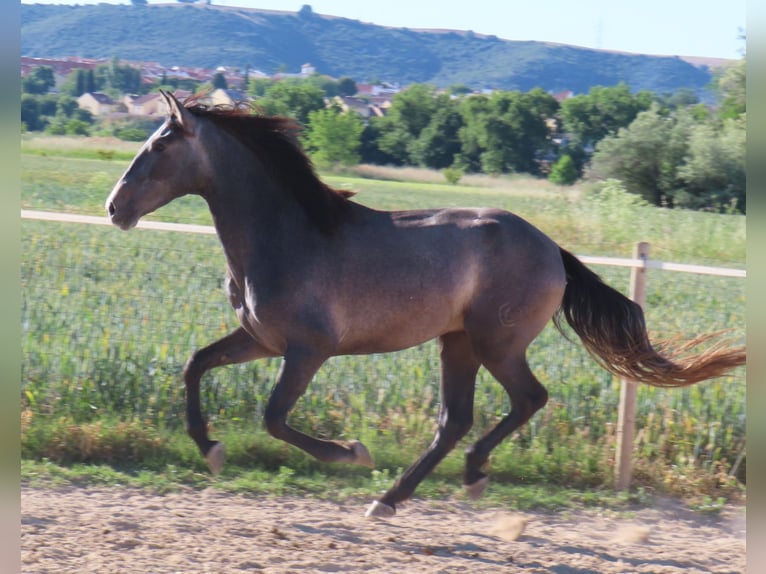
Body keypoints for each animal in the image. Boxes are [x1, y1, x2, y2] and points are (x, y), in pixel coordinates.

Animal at [105, 92, 748, 520]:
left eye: (158, 144)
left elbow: (273, 417)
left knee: (527, 400)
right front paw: (211, 450)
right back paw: (392, 500)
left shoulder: (308, 350)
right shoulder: (261, 340)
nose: (114, 208)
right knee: (455, 419)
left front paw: (350, 452)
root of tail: (551, 250)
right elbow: (194, 365)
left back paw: (467, 476)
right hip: (457, 342)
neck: (285, 235)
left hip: (496, 343)